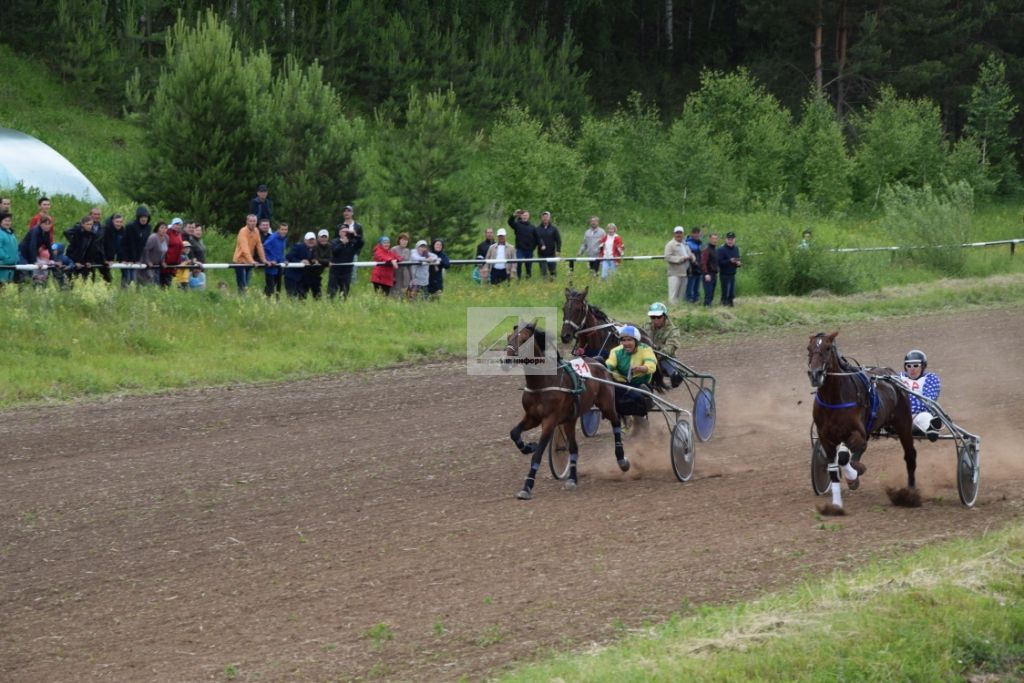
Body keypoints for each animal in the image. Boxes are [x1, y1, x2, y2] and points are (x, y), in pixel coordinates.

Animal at [505, 323, 626, 499]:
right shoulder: (532, 417)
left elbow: (537, 455)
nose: (506, 360)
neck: (543, 382)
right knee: (574, 448)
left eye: (524, 339)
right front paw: (529, 446)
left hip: (606, 404)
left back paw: (622, 459)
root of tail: (597, 360)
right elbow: (514, 433)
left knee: (616, 421)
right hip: (570, 419)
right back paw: (572, 479)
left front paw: (527, 486)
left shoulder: (550, 421)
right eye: (509, 337)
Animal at [806, 329, 921, 511]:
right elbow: (834, 467)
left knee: (910, 455)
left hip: (904, 424)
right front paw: (836, 505)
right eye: (808, 349)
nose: (815, 374)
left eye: (828, 348)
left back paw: (909, 494)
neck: (834, 399)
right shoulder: (826, 438)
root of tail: (892, 375)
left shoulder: (856, 432)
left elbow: (844, 458)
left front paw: (854, 474)